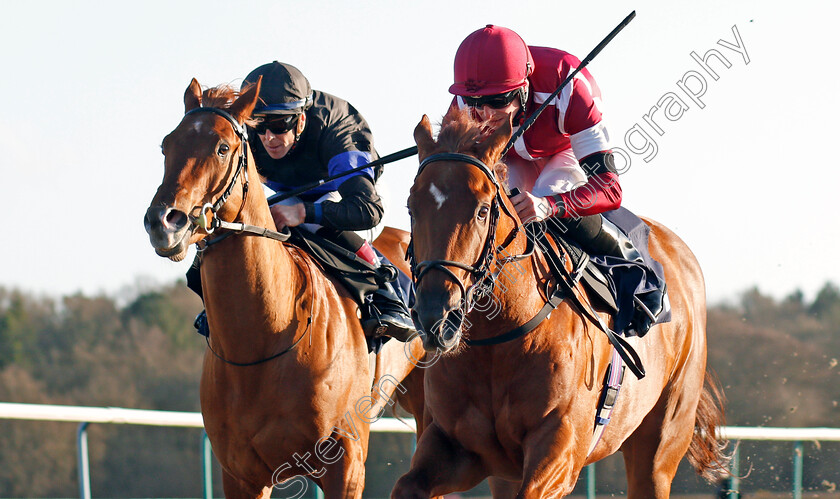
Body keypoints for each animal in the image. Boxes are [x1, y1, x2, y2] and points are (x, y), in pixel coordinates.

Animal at [144, 80, 426, 498]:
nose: (164, 222)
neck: (262, 343)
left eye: (223, 147)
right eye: (167, 145)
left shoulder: (347, 463)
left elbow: (361, 204)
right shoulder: (240, 474)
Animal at [394, 110, 728, 499]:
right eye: (411, 207)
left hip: (661, 446)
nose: (437, 317)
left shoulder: (561, 448)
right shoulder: (455, 447)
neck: (500, 340)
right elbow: (407, 485)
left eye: (481, 211)